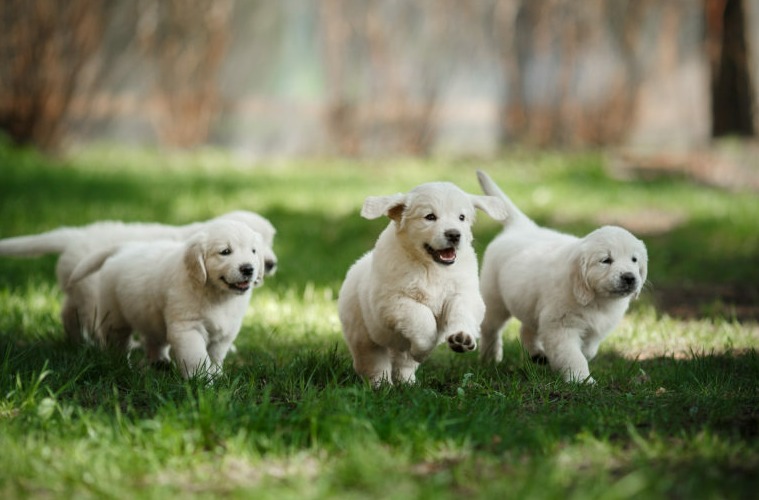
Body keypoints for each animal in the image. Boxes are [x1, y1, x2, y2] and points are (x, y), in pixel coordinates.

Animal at [66, 220, 268, 378]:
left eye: (253, 251)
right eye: (225, 252)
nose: (248, 269)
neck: (216, 294)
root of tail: (125, 248)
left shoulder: (225, 333)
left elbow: (215, 357)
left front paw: (217, 376)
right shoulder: (188, 328)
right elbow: (197, 357)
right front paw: (202, 382)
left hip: (151, 316)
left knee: (153, 340)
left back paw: (160, 363)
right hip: (115, 316)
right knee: (118, 342)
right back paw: (122, 365)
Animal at [336, 181, 504, 386]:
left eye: (461, 217)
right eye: (430, 217)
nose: (454, 234)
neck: (431, 267)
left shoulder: (464, 293)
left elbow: (462, 311)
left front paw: (462, 338)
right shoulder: (392, 302)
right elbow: (422, 317)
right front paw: (423, 351)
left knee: (403, 363)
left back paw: (408, 383)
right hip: (363, 335)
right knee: (373, 362)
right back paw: (382, 385)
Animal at [476, 170, 648, 384]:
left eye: (634, 260)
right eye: (606, 260)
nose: (629, 277)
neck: (596, 300)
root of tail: (522, 227)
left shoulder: (594, 330)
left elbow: (588, 350)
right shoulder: (561, 326)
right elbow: (573, 355)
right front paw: (581, 380)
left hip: (530, 303)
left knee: (526, 329)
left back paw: (537, 355)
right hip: (494, 299)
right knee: (490, 328)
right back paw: (489, 358)